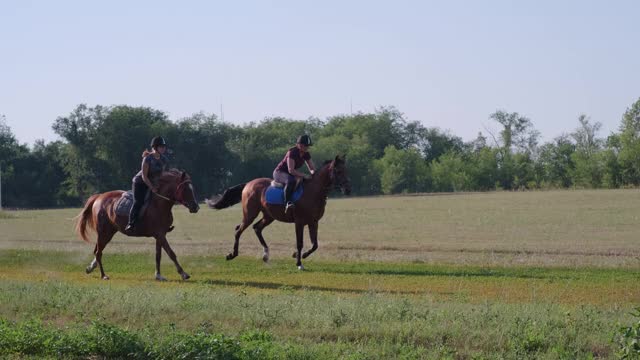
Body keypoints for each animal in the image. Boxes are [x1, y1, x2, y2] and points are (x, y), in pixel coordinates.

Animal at [209, 155, 350, 270]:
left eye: (346, 170)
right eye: (338, 171)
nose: (348, 190)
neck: (313, 192)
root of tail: (248, 184)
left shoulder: (313, 222)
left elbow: (315, 245)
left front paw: (299, 255)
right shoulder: (299, 223)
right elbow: (300, 243)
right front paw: (299, 263)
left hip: (269, 216)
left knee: (257, 228)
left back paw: (266, 255)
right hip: (250, 214)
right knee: (239, 230)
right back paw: (232, 255)